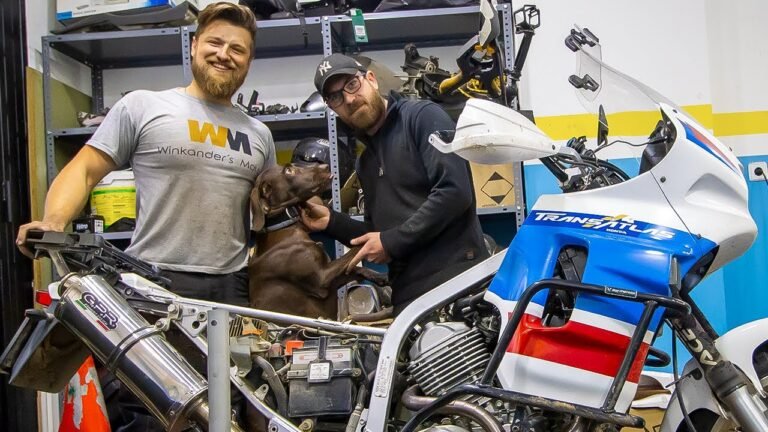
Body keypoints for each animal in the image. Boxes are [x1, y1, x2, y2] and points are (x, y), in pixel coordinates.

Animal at [249, 164, 388, 318]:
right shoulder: (322, 278)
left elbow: (354, 269)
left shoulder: (329, 281)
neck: (284, 226)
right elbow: (354, 251)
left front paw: (380, 276)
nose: (325, 166)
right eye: (289, 171)